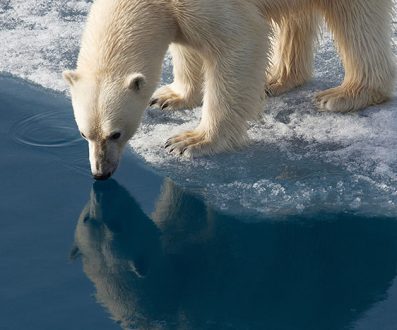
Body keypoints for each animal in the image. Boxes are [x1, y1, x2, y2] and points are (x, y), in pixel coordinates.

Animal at [62, 0, 392, 179]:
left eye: (115, 134)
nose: (100, 173)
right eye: (84, 133)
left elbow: (240, 41)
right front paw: (170, 97)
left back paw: (346, 94)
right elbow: (186, 44)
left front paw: (191, 141)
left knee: (357, 21)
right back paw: (277, 80)